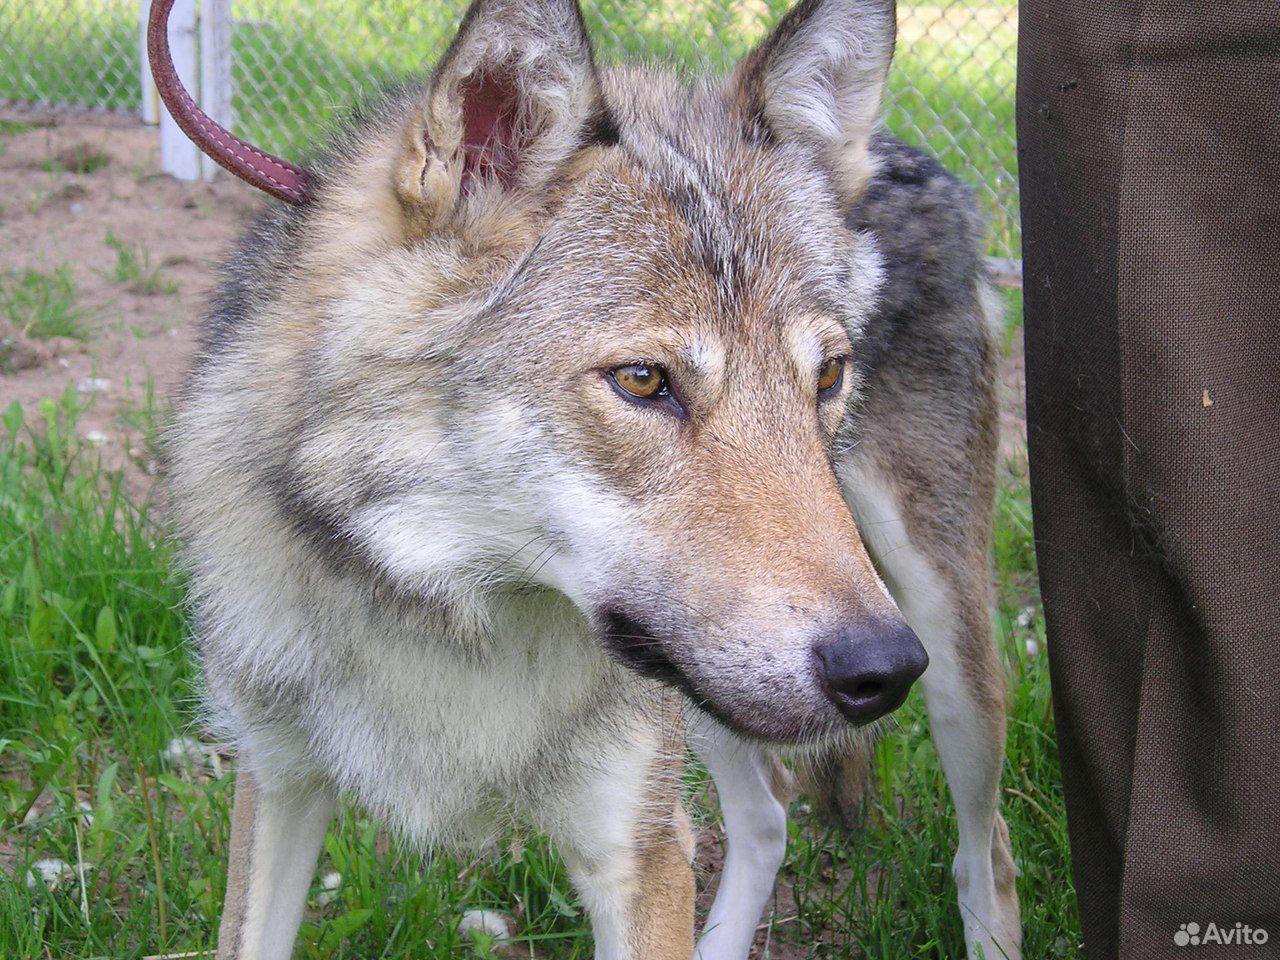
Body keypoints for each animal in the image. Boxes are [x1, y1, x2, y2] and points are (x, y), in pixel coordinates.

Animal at [170, 0, 1024, 957]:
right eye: (644, 381)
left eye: (829, 376)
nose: (880, 671)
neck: (448, 619)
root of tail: (919, 157)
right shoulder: (277, 783)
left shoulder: (634, 851)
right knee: (768, 816)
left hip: (946, 651)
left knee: (986, 854)